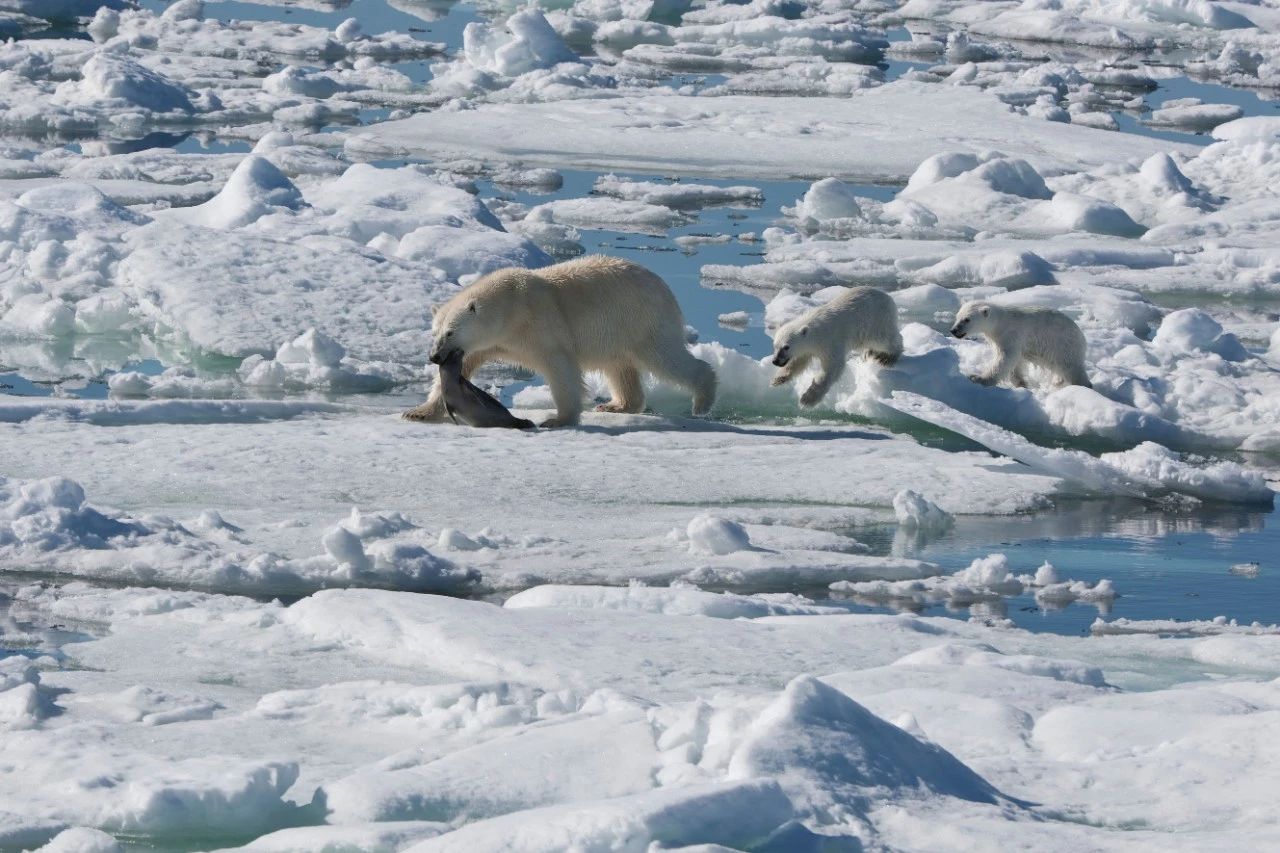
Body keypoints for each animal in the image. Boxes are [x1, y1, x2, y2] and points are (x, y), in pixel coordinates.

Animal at [404, 252, 716, 425]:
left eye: (450, 331)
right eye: (435, 332)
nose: (435, 356)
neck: (511, 305)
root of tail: (663, 285)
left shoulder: (540, 325)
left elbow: (560, 367)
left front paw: (558, 419)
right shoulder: (490, 341)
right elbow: (466, 364)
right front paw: (418, 412)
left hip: (642, 319)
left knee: (665, 358)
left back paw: (702, 400)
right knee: (619, 367)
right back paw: (617, 404)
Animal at [768, 285, 901, 404]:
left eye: (786, 347)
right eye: (775, 345)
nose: (775, 361)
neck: (815, 331)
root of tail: (888, 297)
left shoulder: (830, 342)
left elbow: (832, 367)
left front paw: (808, 399)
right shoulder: (808, 348)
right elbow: (799, 361)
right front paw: (778, 379)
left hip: (875, 321)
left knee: (885, 340)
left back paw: (887, 357)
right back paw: (870, 352)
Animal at [952, 298, 1090, 384]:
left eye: (967, 319)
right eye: (957, 316)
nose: (953, 330)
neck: (1000, 322)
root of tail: (1081, 336)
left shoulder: (1010, 335)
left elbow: (1006, 358)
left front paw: (979, 378)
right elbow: (1016, 362)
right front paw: (1020, 383)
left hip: (1063, 344)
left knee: (1071, 366)